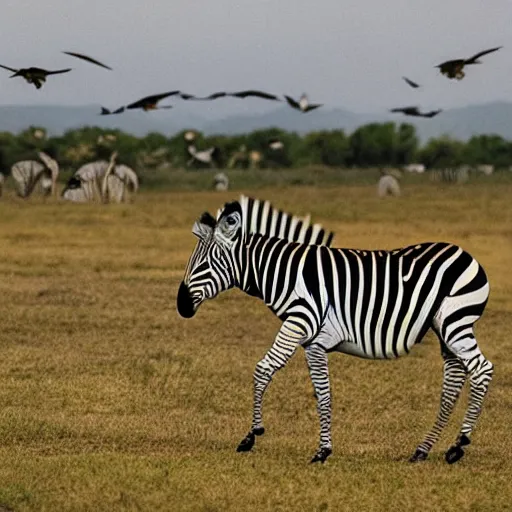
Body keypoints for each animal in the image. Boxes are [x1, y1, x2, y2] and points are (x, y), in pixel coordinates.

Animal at [176, 195, 492, 464]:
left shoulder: (299, 321)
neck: (286, 274)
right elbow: (322, 392)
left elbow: (264, 369)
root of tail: (466, 254)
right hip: (444, 328)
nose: (181, 305)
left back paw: (458, 444)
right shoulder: (314, 341)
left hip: (455, 321)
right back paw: (424, 449)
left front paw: (253, 436)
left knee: (481, 369)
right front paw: (323, 449)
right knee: (453, 380)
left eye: (205, 262)